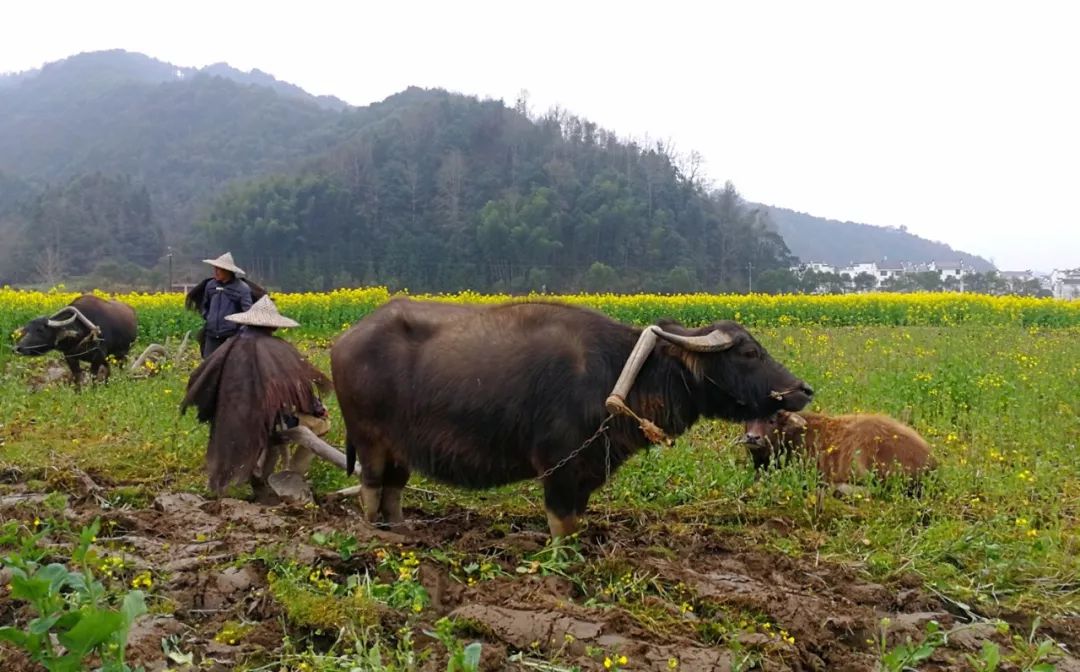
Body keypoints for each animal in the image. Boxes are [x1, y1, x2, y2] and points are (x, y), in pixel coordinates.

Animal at [332, 298, 812, 538]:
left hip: (400, 446)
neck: (614, 373)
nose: (803, 390)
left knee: (393, 487)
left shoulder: (589, 468)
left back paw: (401, 529)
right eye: (748, 352)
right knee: (371, 487)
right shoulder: (559, 468)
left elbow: (577, 520)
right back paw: (377, 535)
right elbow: (561, 524)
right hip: (370, 439)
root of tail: (345, 340)